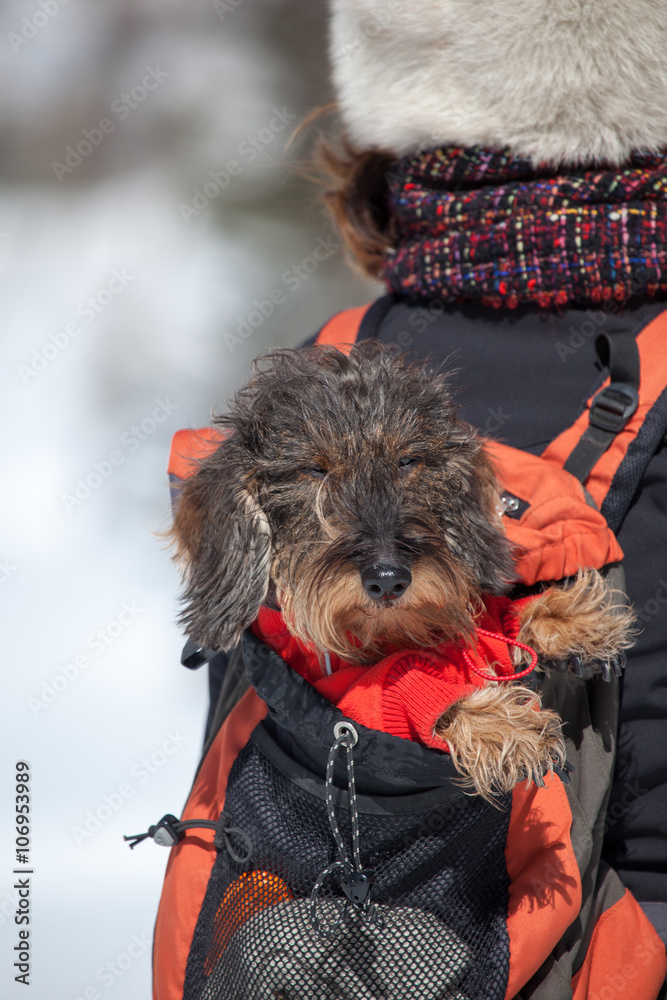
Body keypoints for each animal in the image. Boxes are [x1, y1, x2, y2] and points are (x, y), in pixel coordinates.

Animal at [170, 344, 636, 804]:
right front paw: (499, 724)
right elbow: (405, 686)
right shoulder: (344, 690)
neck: (391, 633)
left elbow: (497, 621)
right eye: (315, 469)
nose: (388, 578)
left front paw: (566, 618)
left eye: (407, 460)